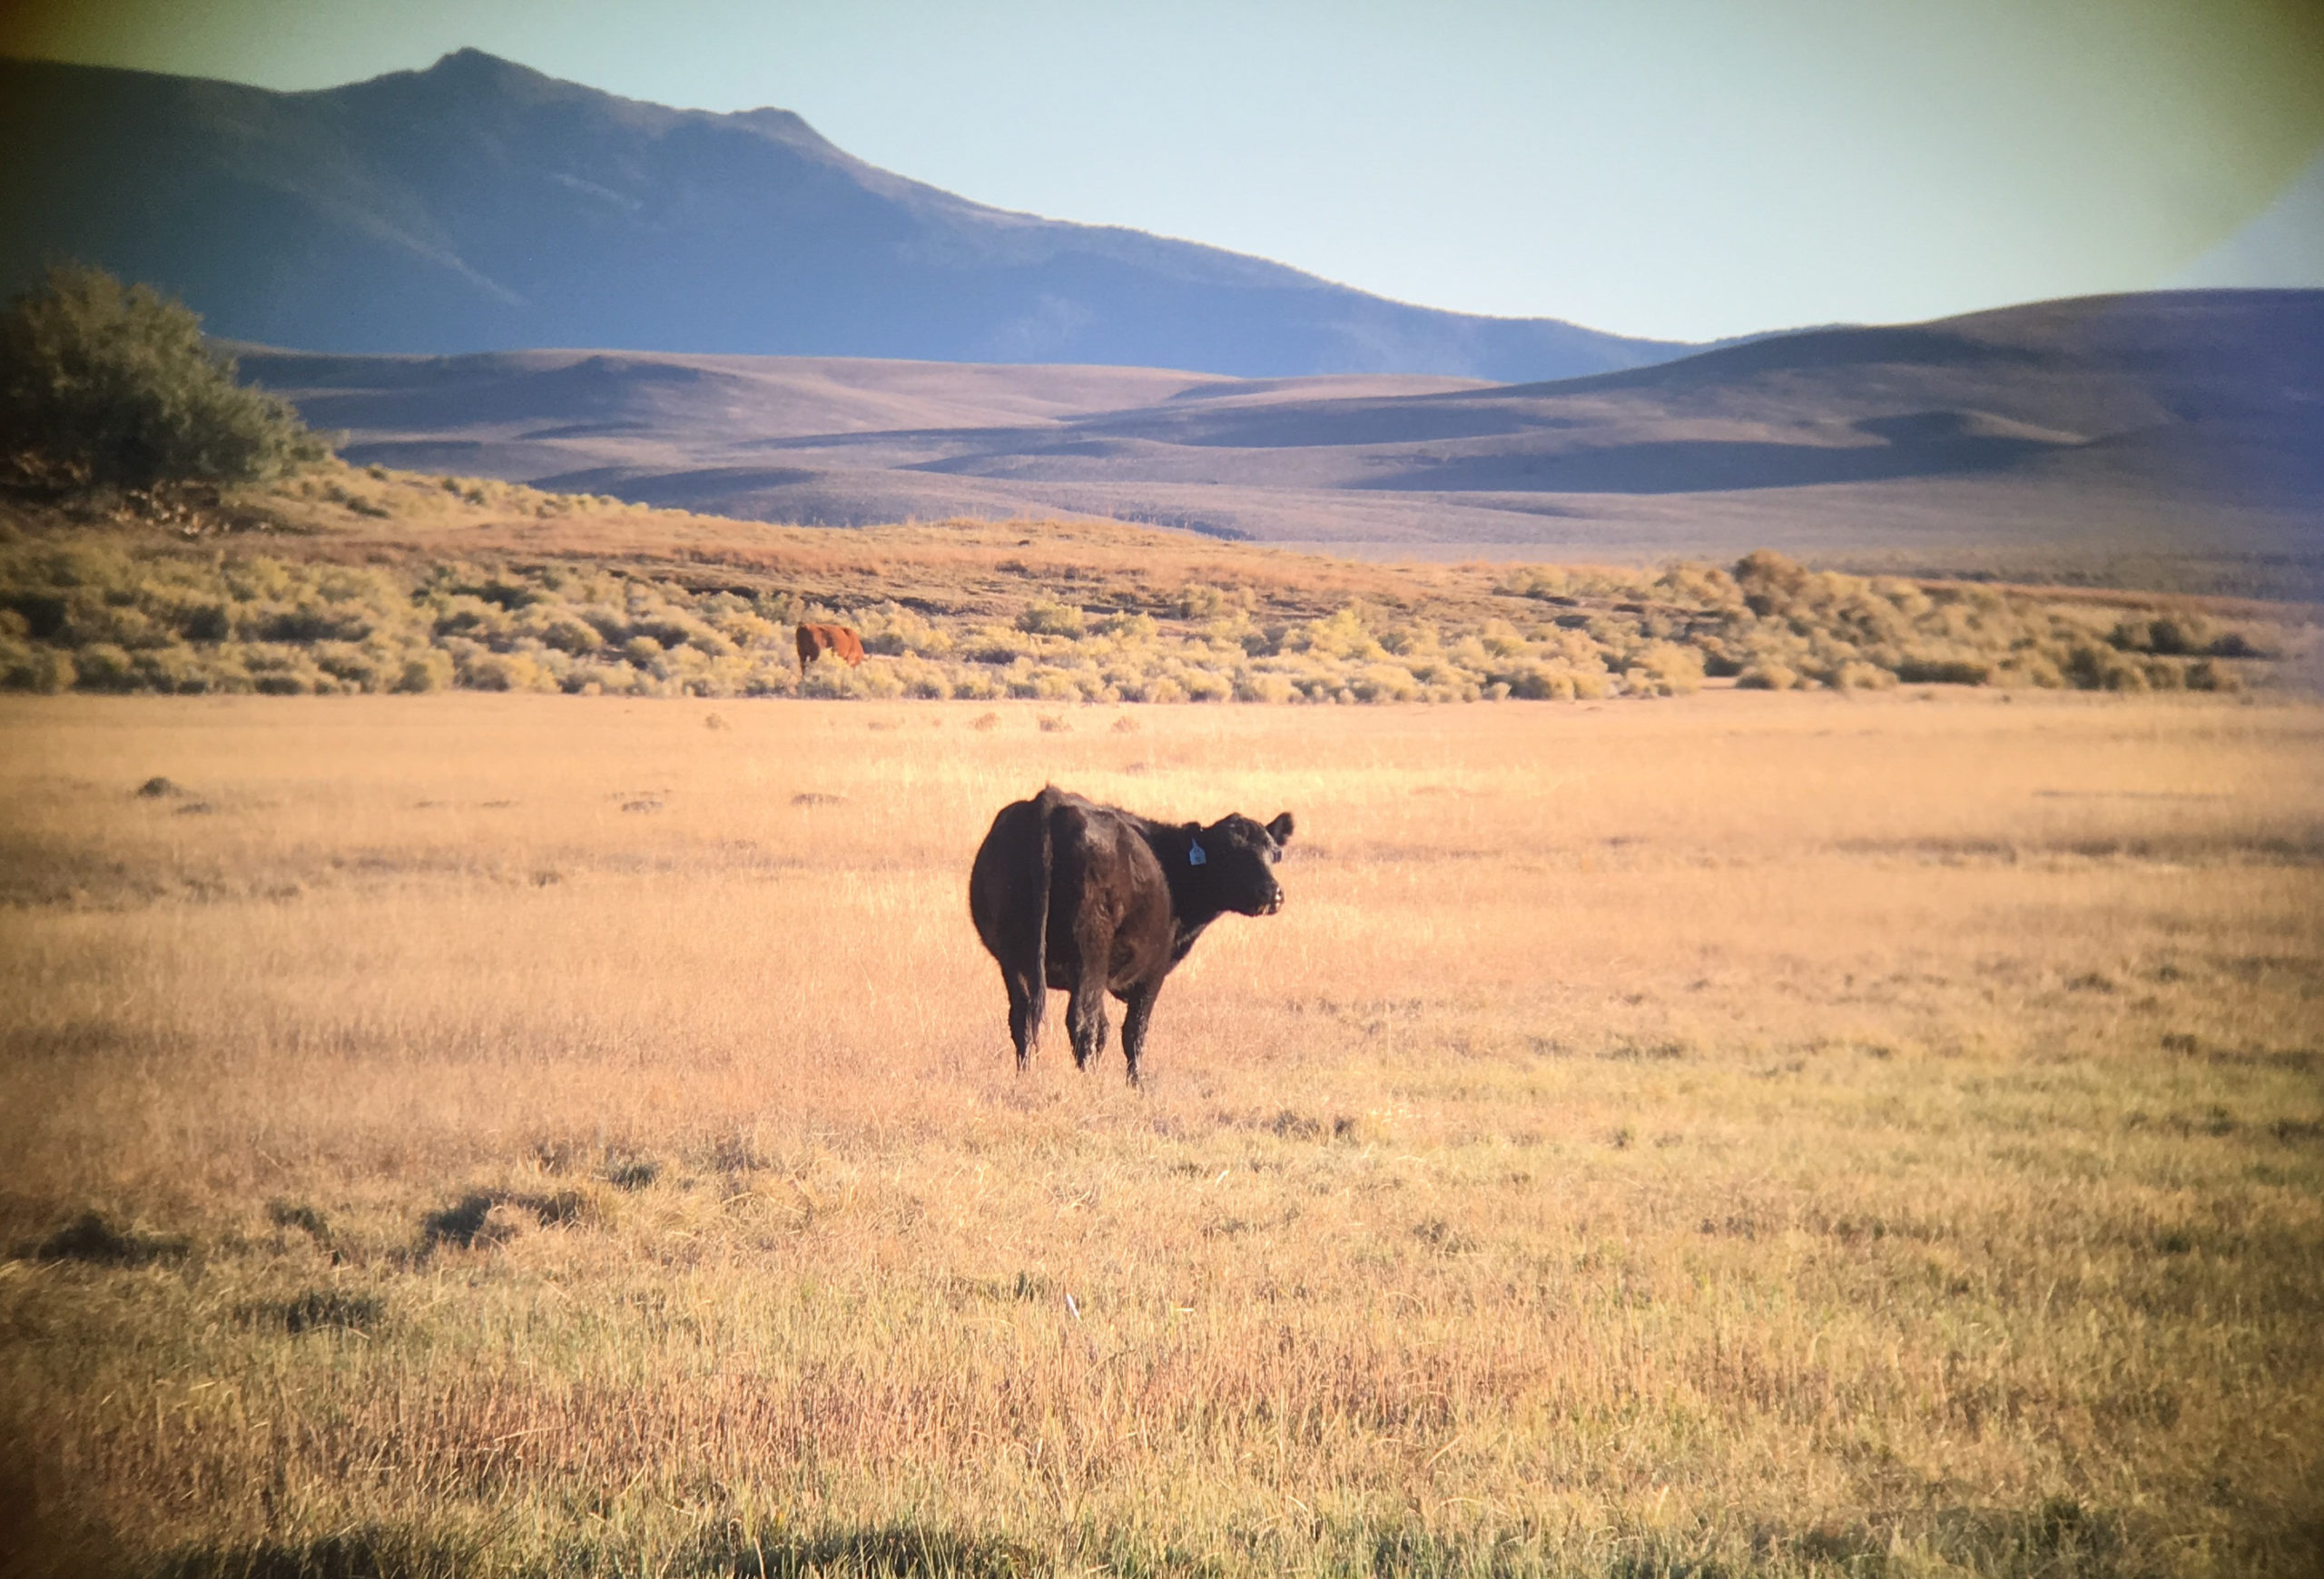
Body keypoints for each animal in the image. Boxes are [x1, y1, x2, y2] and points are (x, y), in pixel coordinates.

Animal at [961, 785, 1292, 1088]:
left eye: (1274, 853)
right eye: (1228, 853)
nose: (1272, 893)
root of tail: (1050, 800)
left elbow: (1105, 1028)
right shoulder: (1153, 970)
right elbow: (1134, 1029)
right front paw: (1136, 1084)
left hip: (1015, 956)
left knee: (1025, 1017)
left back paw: (1027, 1076)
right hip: (1089, 949)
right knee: (1080, 1019)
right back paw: (1086, 1081)